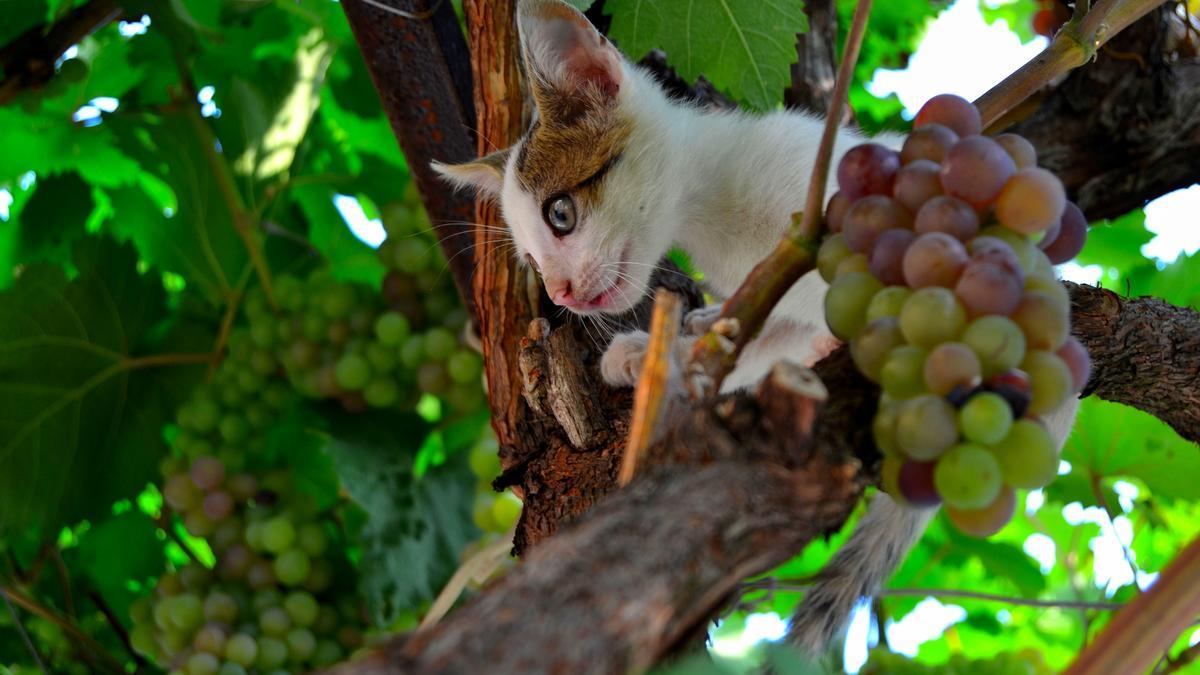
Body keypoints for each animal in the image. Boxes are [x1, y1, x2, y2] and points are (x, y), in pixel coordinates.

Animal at [436, 0, 1084, 653]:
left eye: (561, 214)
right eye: (531, 259)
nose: (561, 293)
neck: (714, 213)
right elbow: (757, 337)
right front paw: (658, 355)